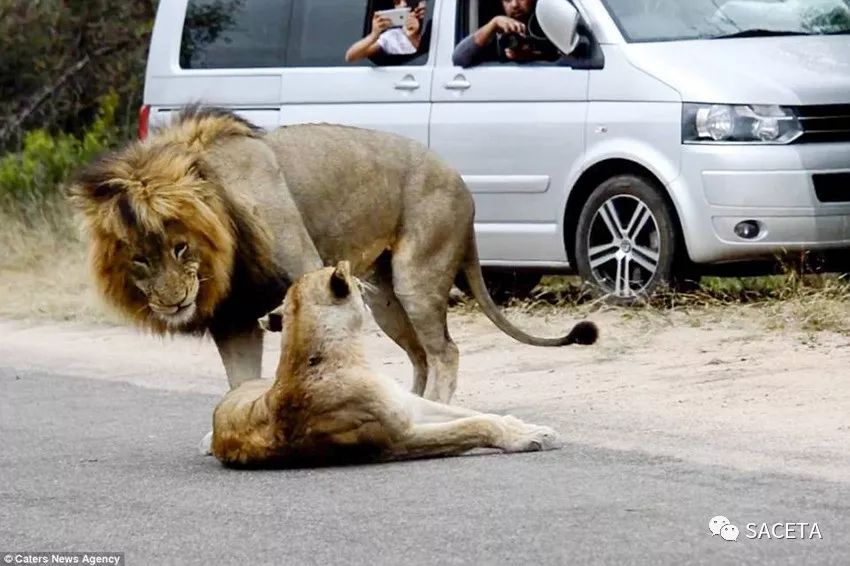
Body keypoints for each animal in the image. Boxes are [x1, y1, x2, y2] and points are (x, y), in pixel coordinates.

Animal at [69, 104, 592, 402]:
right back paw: (414, 409)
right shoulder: (234, 317)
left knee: (445, 351)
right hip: (385, 298)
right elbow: (240, 380)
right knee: (421, 355)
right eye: (139, 259)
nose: (174, 302)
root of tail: (462, 181)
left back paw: (438, 408)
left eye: (181, 247)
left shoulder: (306, 269)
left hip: (417, 275)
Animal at [211, 264, 556, 468]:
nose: (362, 278)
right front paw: (529, 436)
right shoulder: (398, 439)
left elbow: (470, 413)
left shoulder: (408, 403)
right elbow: (472, 426)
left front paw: (520, 424)